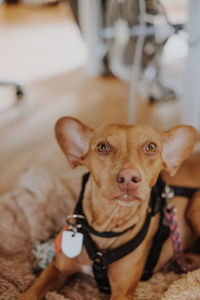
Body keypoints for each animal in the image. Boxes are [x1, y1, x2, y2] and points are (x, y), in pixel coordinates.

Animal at [19, 117, 200, 300]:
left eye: (151, 147)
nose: (128, 177)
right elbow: (30, 292)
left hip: (194, 207)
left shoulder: (122, 292)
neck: (107, 226)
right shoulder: (57, 269)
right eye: (102, 147)